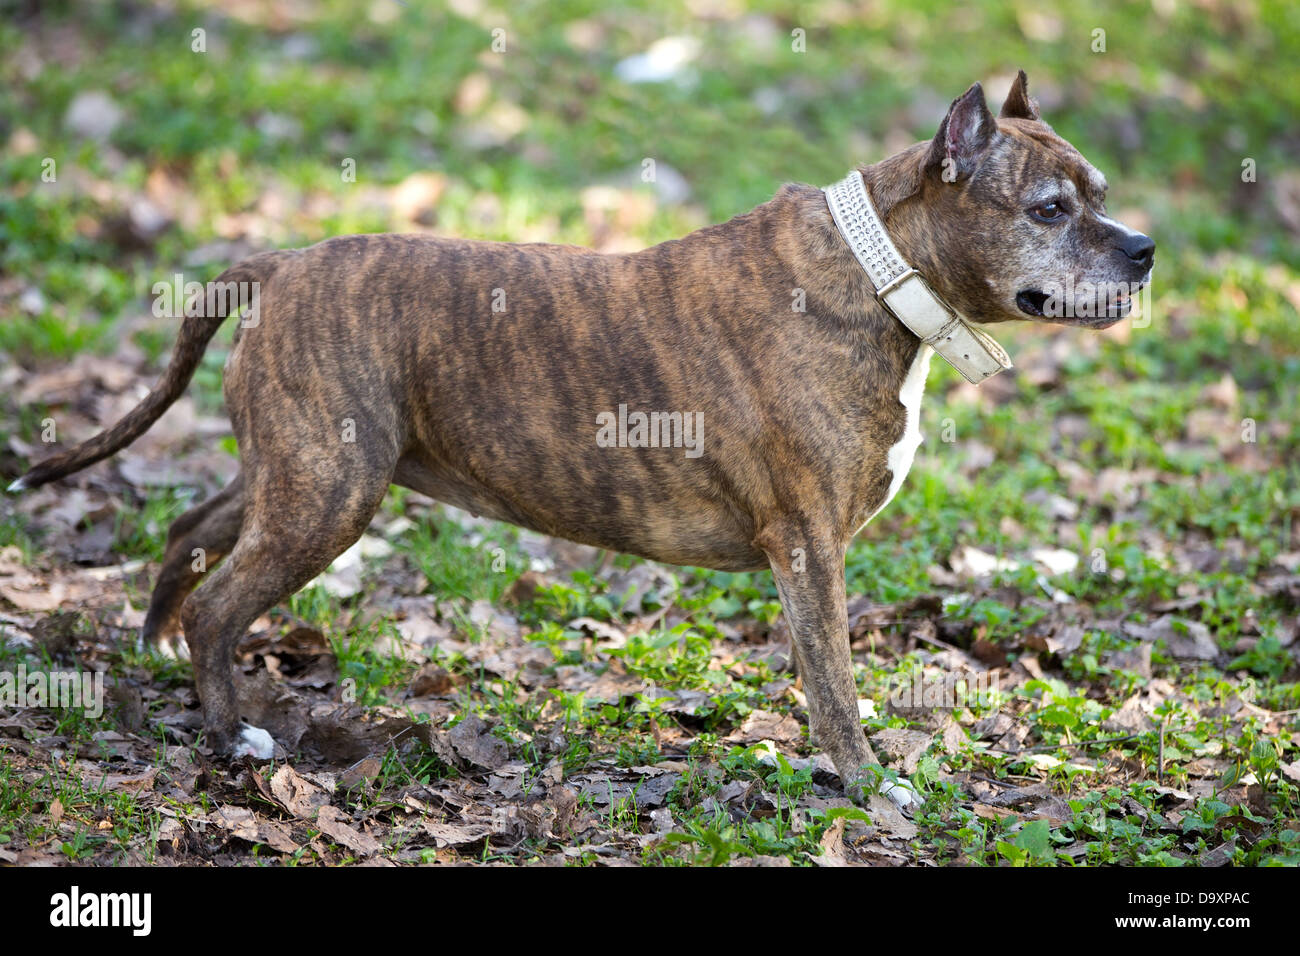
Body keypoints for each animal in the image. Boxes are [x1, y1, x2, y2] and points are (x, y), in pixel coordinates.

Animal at [7, 70, 1149, 811]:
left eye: (1099, 193)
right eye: (1050, 208)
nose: (1143, 248)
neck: (881, 272)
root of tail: (281, 264)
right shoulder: (807, 548)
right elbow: (833, 685)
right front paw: (869, 786)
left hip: (296, 472)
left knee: (193, 530)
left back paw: (157, 645)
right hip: (327, 494)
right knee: (223, 601)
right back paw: (231, 730)